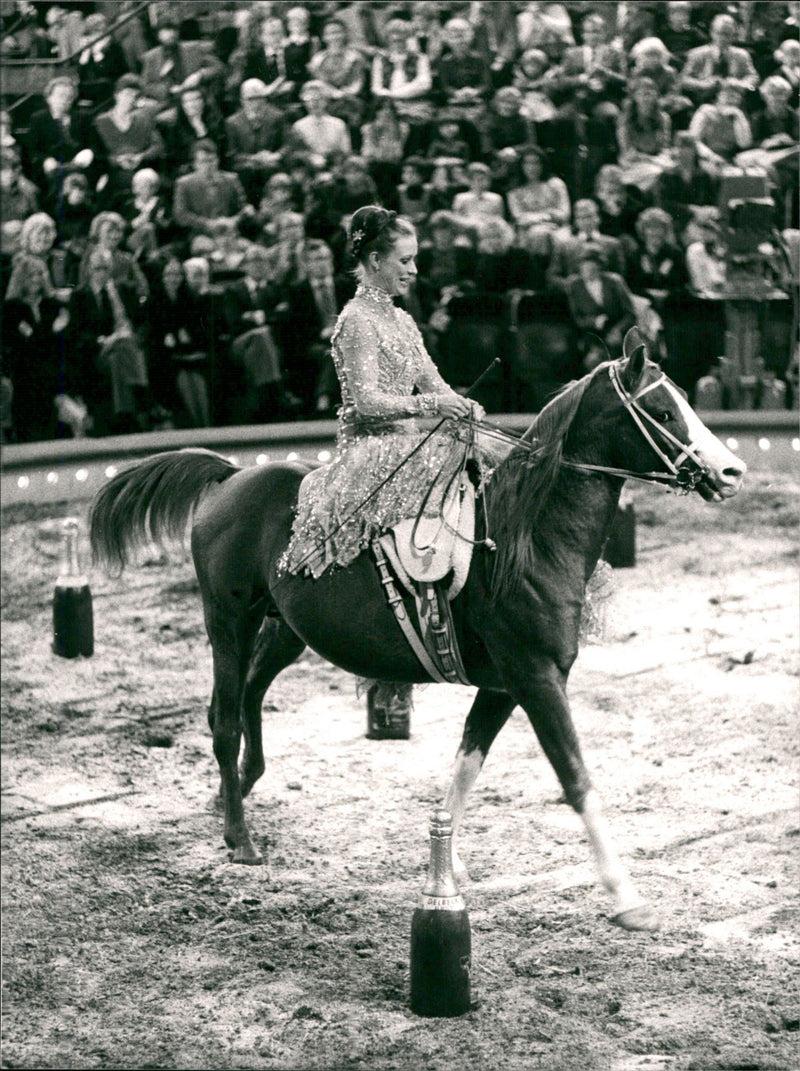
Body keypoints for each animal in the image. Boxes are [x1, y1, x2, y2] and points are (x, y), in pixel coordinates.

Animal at [89, 332, 745, 929]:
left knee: (244, 697)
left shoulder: (503, 688)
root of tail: (229, 478)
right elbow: (576, 779)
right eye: (663, 412)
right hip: (229, 622)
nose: (731, 470)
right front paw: (627, 897)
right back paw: (239, 837)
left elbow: (465, 766)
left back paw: (236, 791)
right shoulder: (537, 680)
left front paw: (447, 866)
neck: (525, 540)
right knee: (224, 719)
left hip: (285, 630)